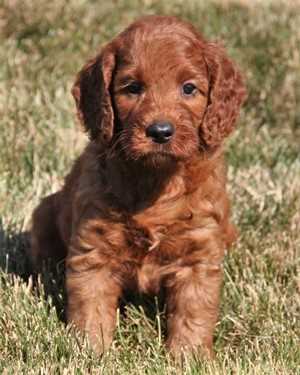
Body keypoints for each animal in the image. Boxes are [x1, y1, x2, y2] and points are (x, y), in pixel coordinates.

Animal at [29, 15, 247, 358]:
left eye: (189, 88)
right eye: (132, 88)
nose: (160, 131)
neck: (155, 181)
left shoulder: (199, 253)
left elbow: (193, 312)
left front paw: (189, 357)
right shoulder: (93, 251)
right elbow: (91, 308)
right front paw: (90, 353)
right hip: (43, 214)